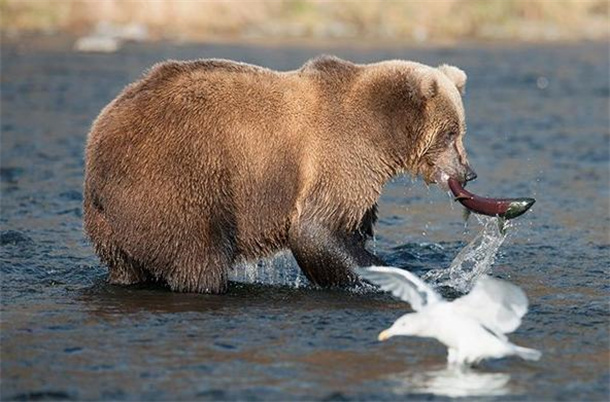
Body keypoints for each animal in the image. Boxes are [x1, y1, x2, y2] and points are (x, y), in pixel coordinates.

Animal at [83, 55, 478, 294]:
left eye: (460, 130)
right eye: (450, 133)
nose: (469, 172)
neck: (381, 132)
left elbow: (349, 226)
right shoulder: (340, 155)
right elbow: (315, 230)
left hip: (113, 225)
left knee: (127, 265)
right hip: (177, 181)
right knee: (198, 255)